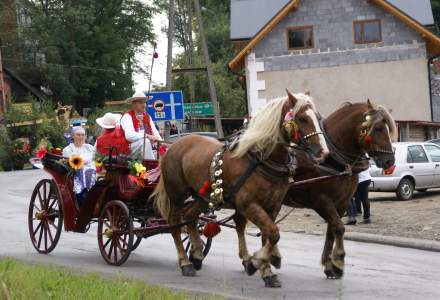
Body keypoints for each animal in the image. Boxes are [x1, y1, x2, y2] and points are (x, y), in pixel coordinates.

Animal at [153, 90, 328, 288]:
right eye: (302, 118)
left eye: (318, 117)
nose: (323, 152)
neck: (262, 160)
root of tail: (172, 147)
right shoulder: (248, 205)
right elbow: (273, 233)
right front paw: (255, 263)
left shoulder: (273, 206)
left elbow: (268, 235)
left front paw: (266, 271)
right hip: (177, 194)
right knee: (175, 224)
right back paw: (185, 262)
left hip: (203, 197)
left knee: (190, 217)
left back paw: (197, 254)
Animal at [235, 100, 398, 282]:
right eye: (378, 128)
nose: (390, 160)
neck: (332, 159)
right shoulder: (321, 201)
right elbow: (339, 228)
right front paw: (338, 262)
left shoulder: (341, 203)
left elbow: (332, 231)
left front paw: (329, 265)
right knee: (245, 225)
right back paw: (252, 259)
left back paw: (267, 258)